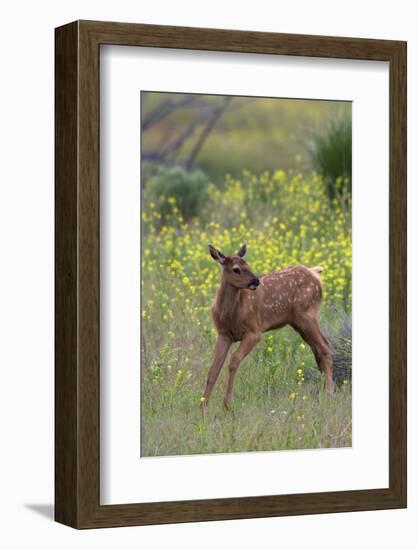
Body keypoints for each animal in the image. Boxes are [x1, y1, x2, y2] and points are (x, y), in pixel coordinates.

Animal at [200, 244, 334, 412]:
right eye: (236, 269)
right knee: (318, 349)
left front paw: (226, 405)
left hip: (307, 316)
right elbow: (213, 369)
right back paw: (323, 391)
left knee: (325, 347)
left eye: (248, 265)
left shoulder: (254, 331)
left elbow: (234, 361)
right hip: (300, 322)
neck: (230, 314)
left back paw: (328, 394)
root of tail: (315, 272)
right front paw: (203, 406)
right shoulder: (223, 334)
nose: (256, 281)